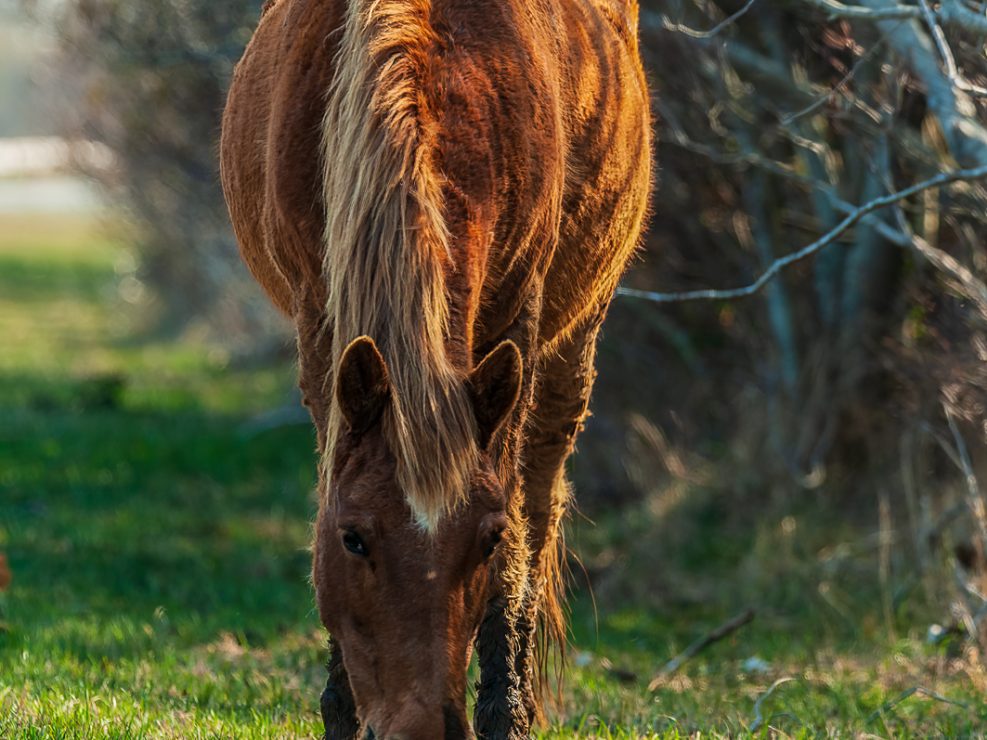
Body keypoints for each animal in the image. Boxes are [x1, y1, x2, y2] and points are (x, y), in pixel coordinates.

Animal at [220, 0, 651, 735]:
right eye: (353, 538)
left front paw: (503, 713)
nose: (420, 727)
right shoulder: (319, 321)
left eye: (486, 540)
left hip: (573, 343)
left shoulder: (516, 318)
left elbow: (516, 536)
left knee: (540, 498)